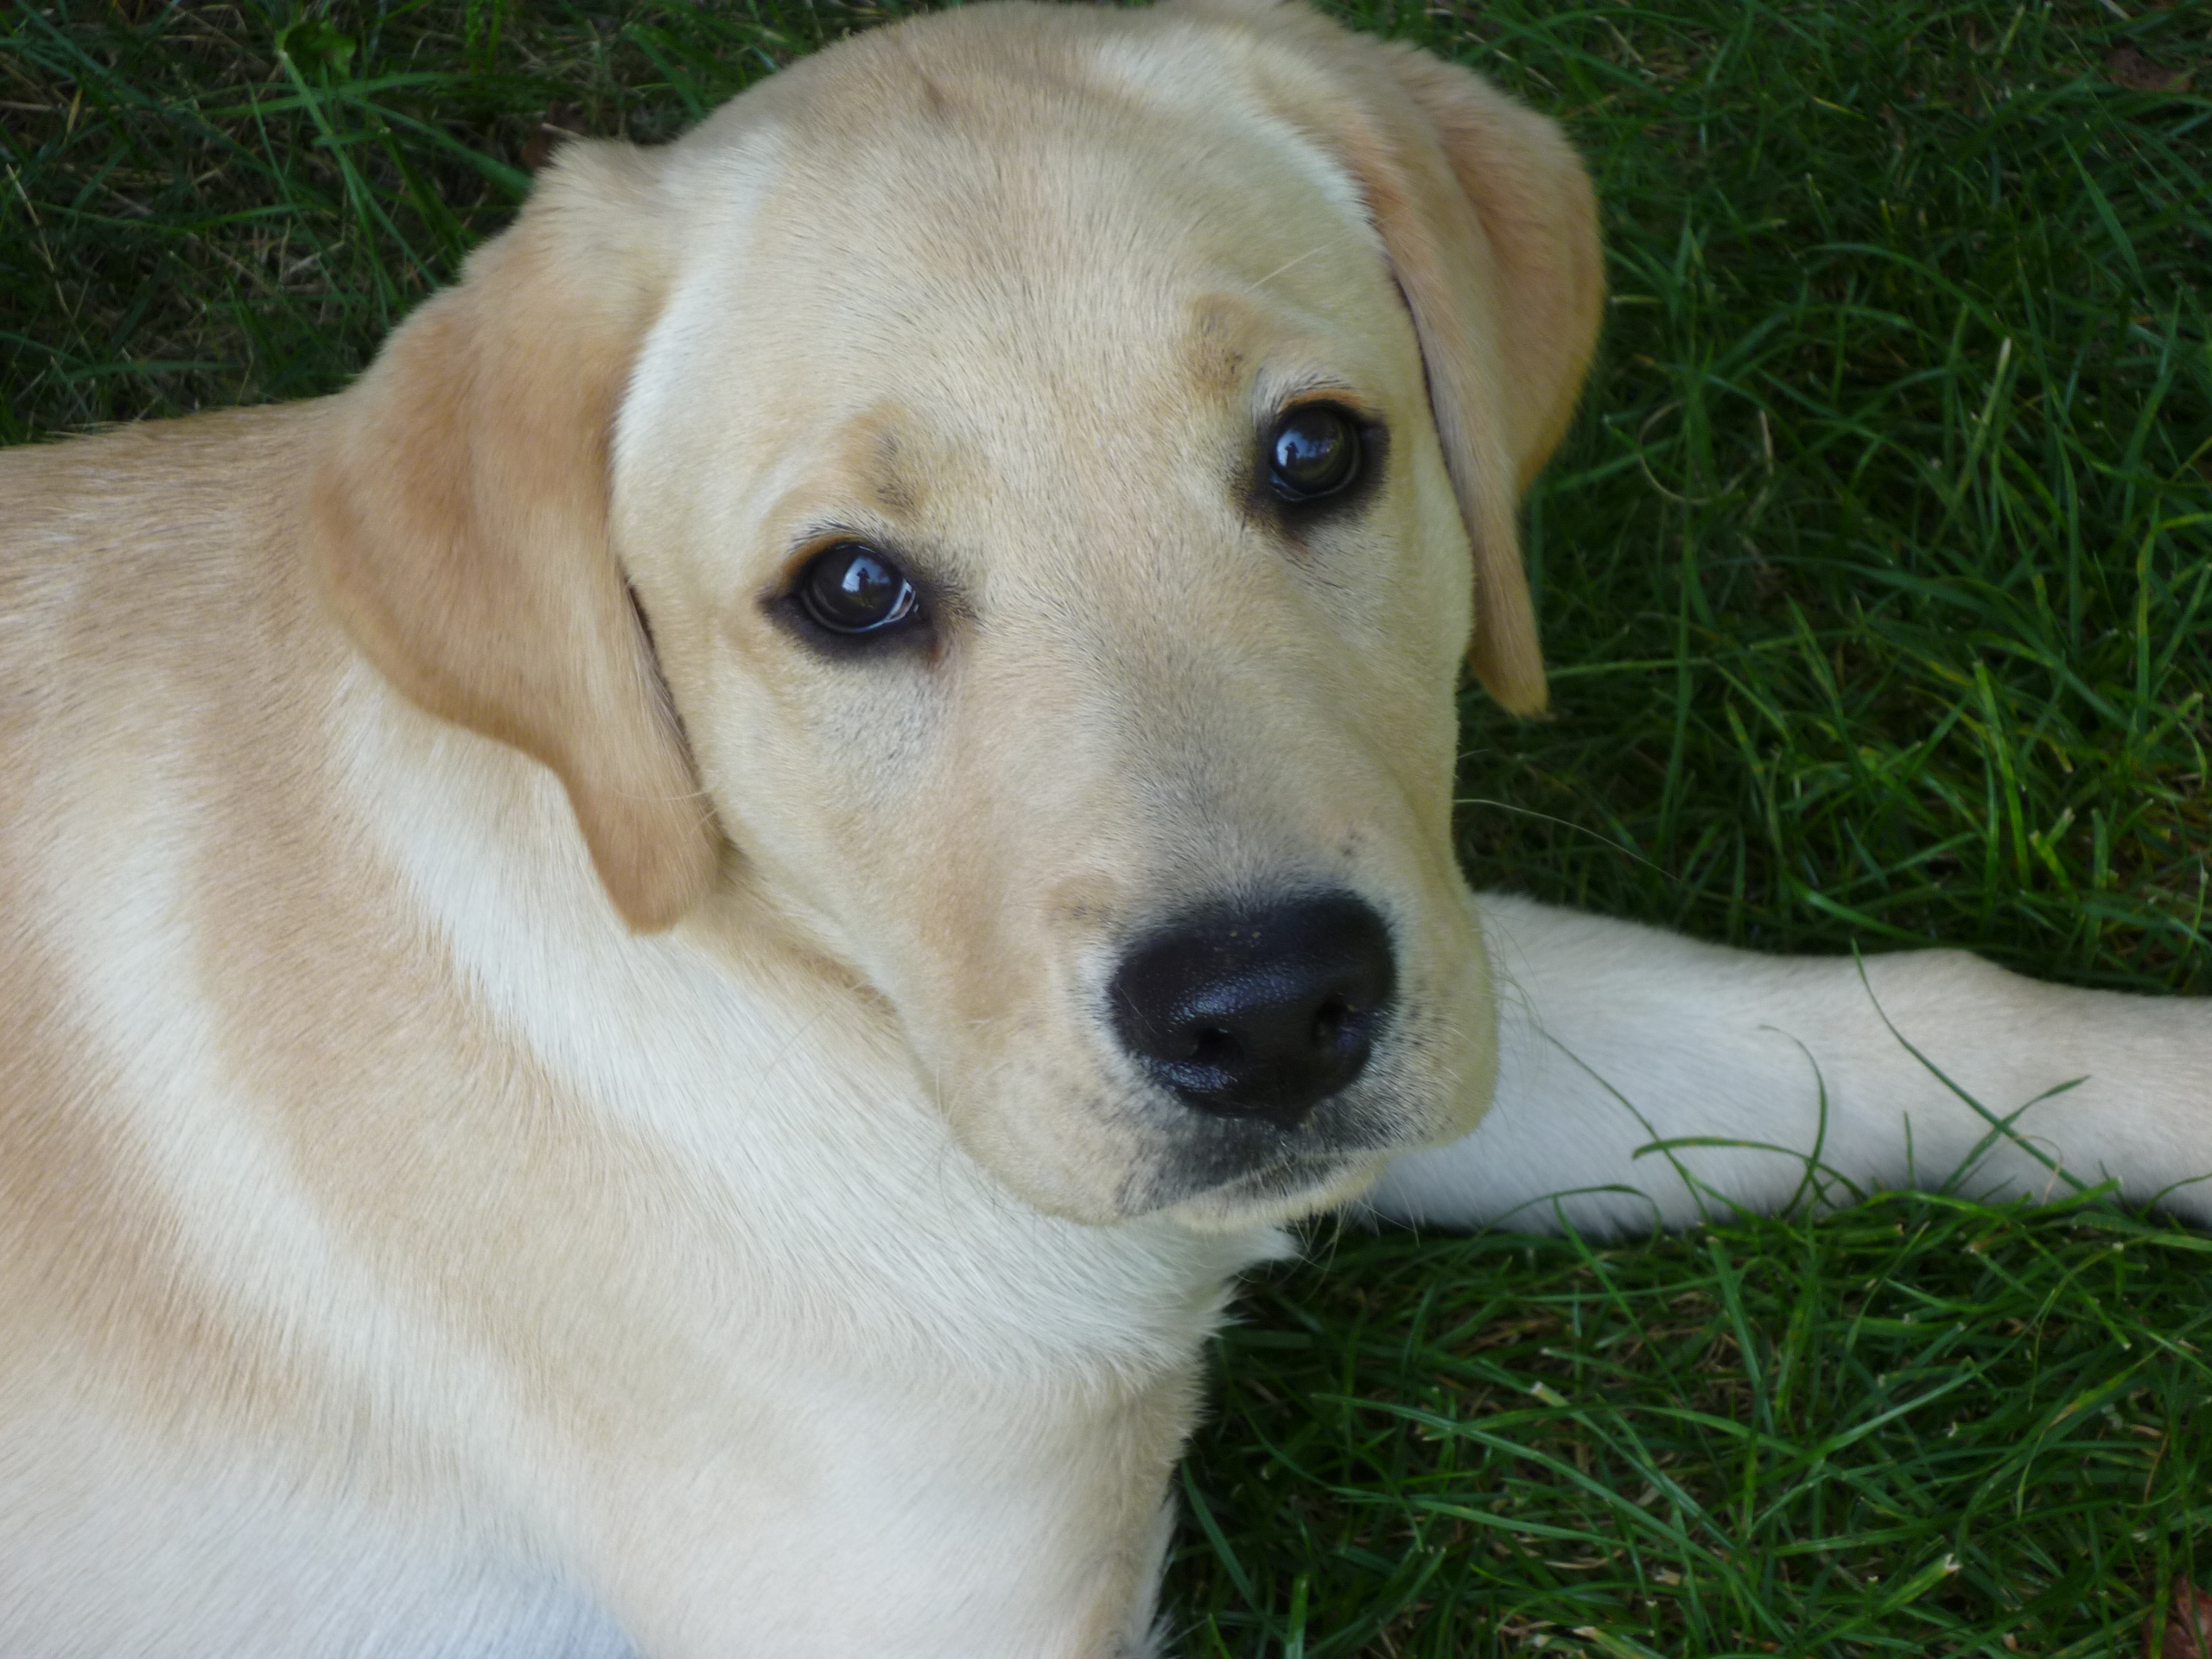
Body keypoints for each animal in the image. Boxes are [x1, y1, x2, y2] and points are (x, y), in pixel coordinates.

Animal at [3, 1, 2206, 1652]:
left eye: (1314, 452)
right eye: (847, 591)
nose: (1266, 1015)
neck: (831, 1014)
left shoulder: (1430, 972)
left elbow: (1893, 1022)